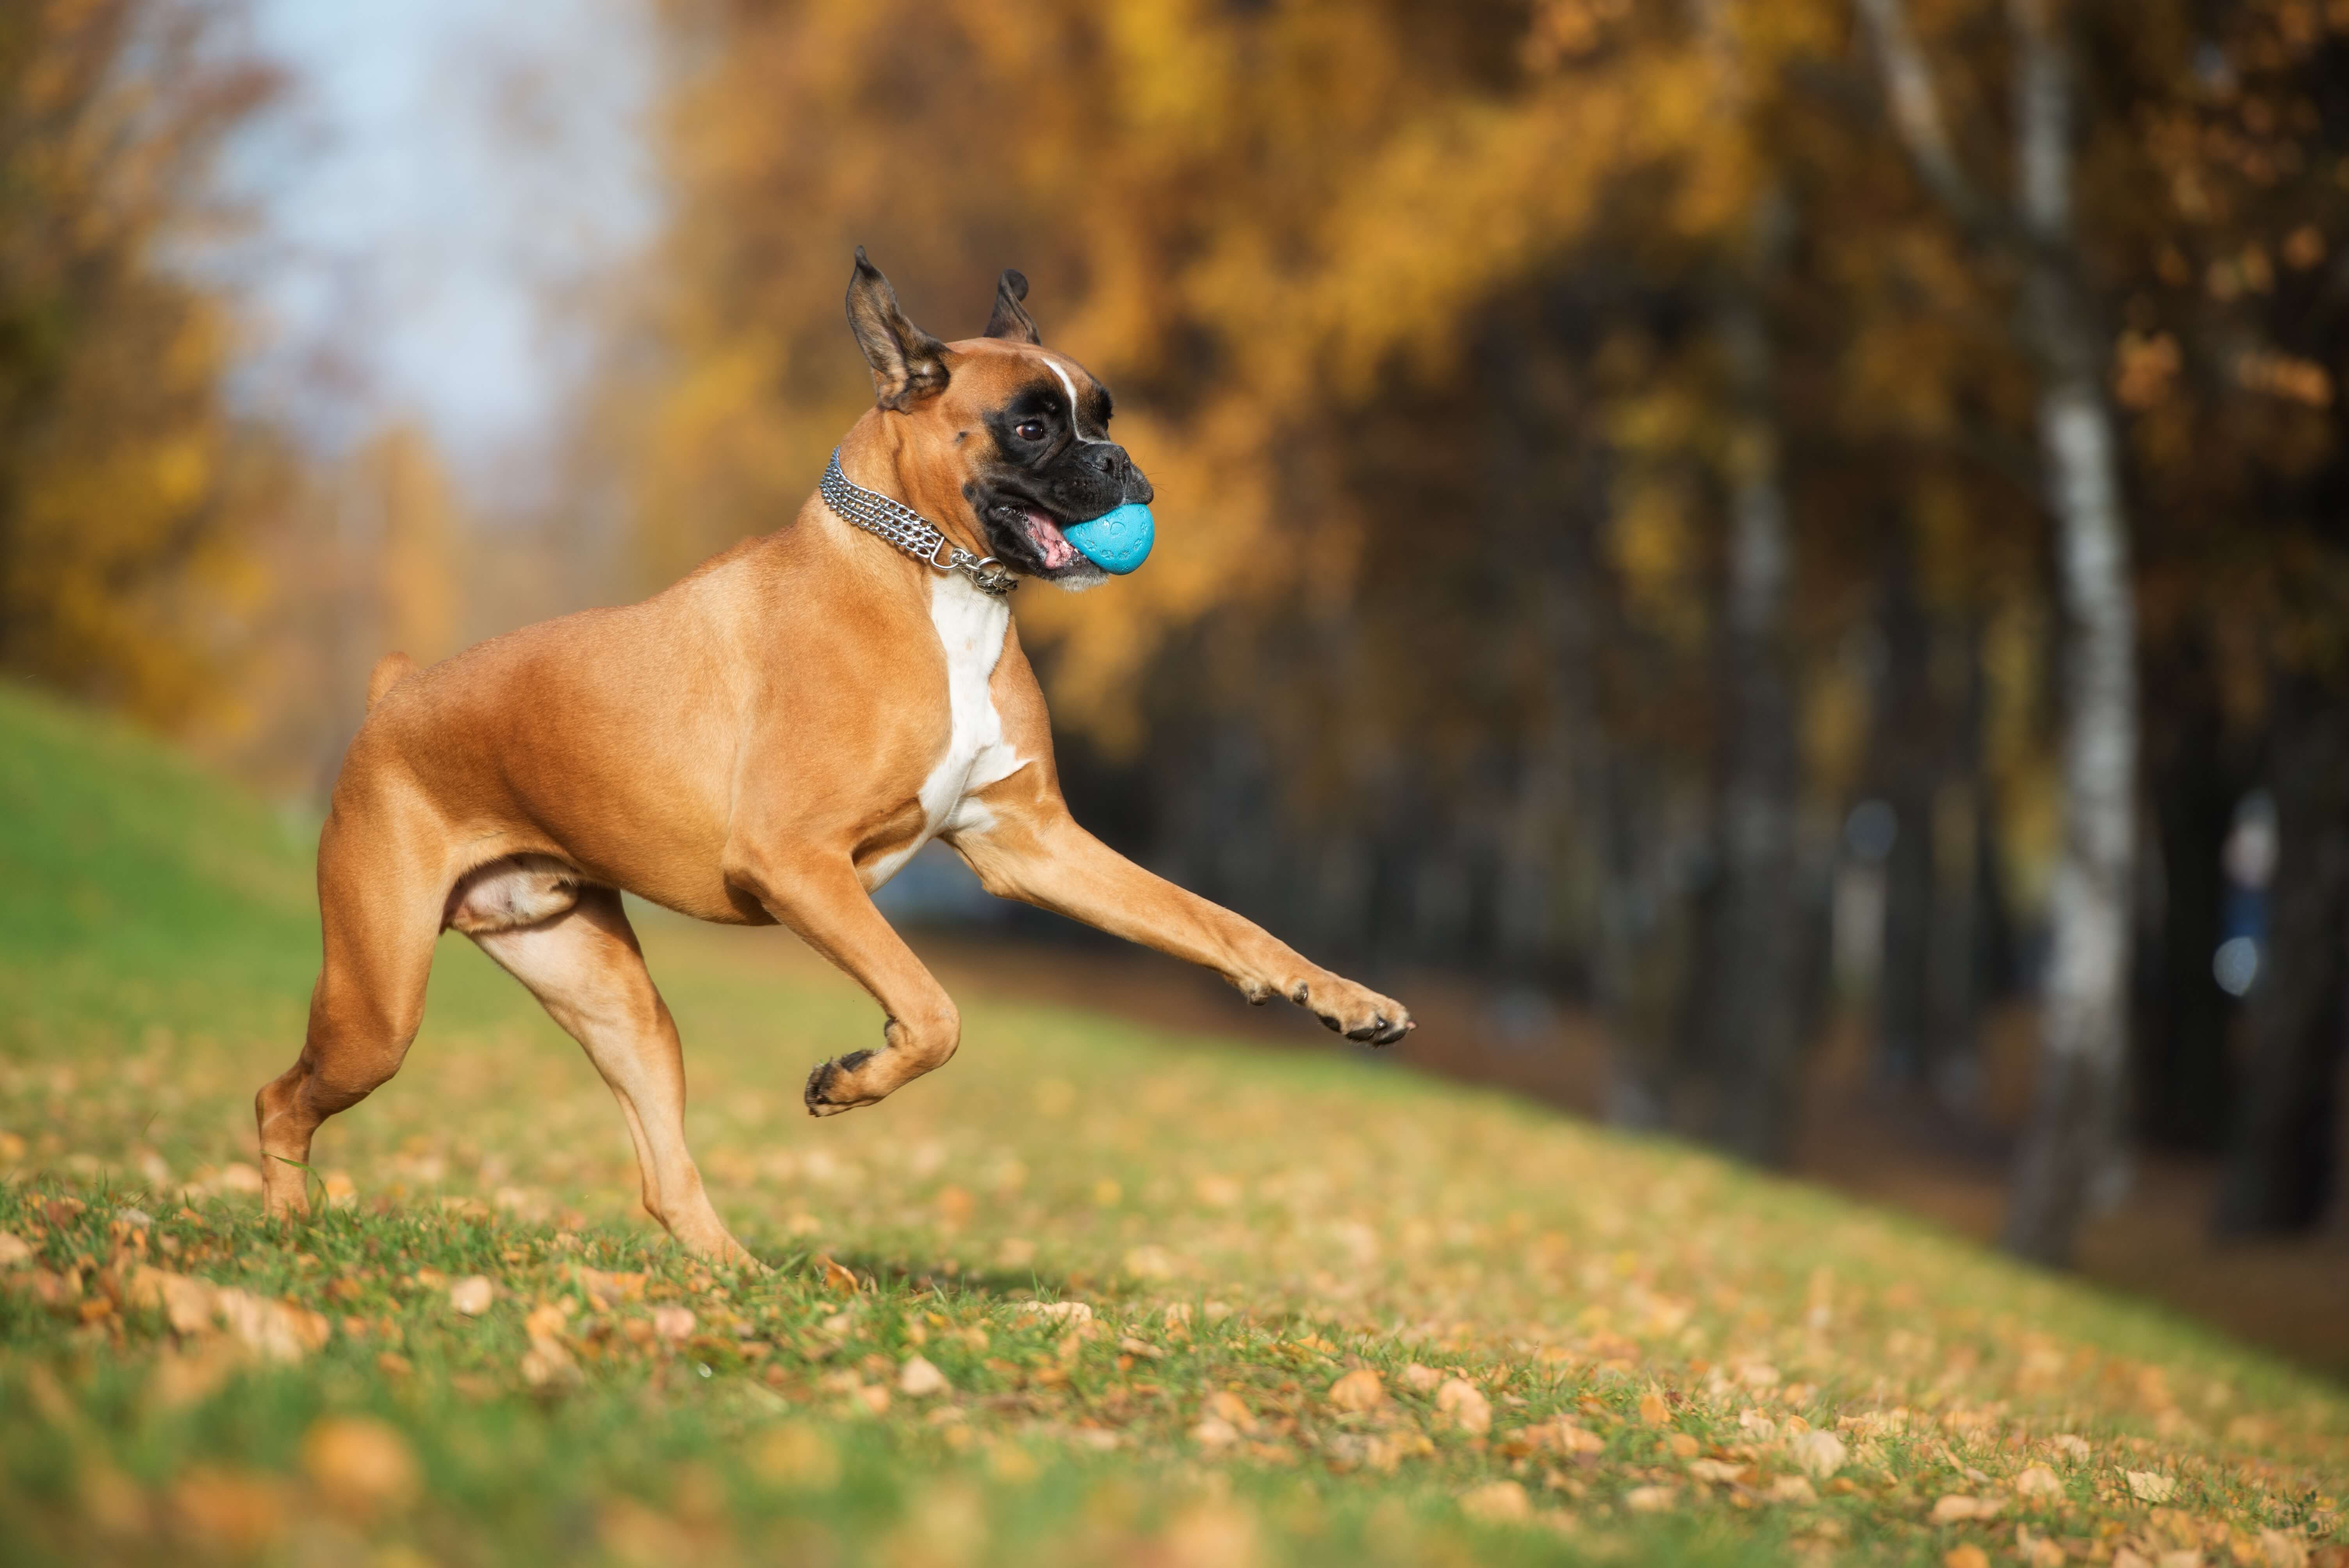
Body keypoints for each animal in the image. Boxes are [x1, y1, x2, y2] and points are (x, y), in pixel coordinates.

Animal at [252, 255, 1409, 1258]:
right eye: (1033, 424)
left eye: (1105, 415)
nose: (1123, 465)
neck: (934, 579)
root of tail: (395, 694)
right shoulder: (798, 862)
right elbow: (935, 1011)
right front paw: (853, 1077)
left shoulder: (1033, 844)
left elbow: (1215, 919)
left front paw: (1338, 996)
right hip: (378, 1010)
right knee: (280, 1097)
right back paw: (289, 1228)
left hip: (614, 1002)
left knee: (663, 1174)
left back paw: (741, 1282)